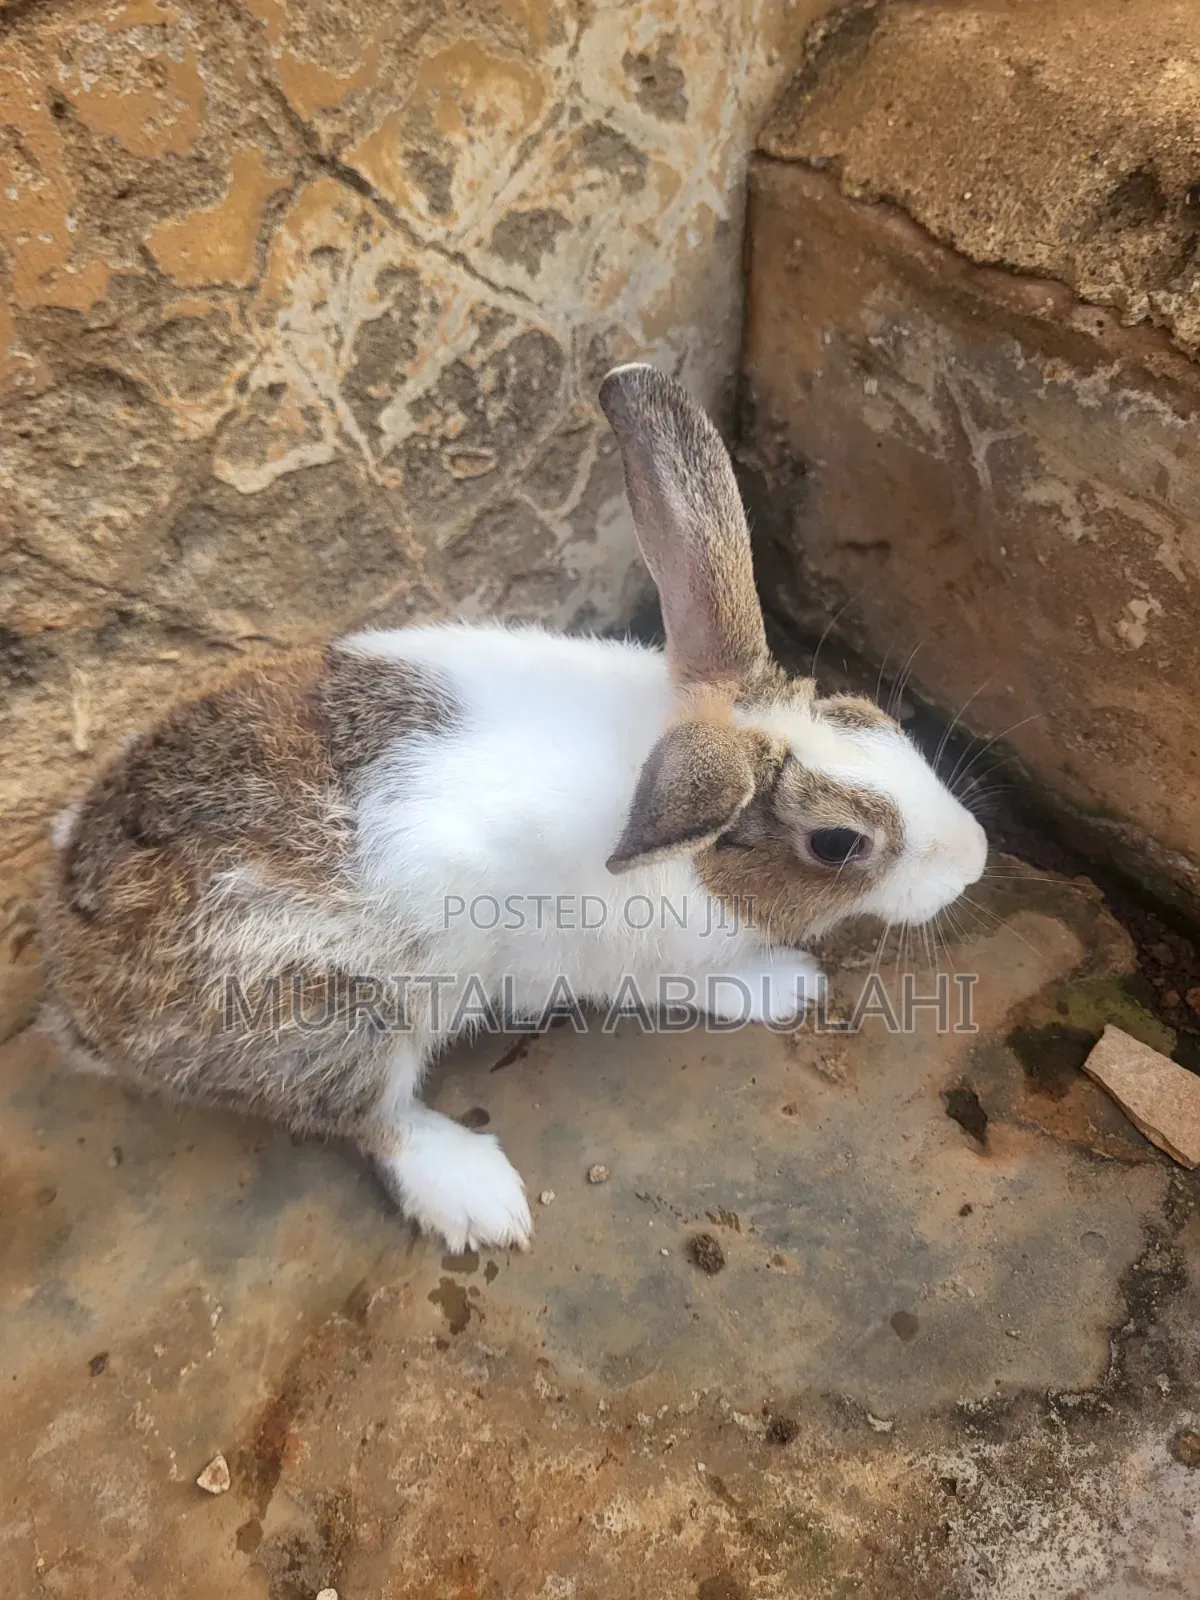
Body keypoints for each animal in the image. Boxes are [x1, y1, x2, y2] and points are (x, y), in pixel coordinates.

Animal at [38, 364, 987, 1253]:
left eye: (860, 711)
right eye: (836, 843)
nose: (976, 855)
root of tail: (77, 999)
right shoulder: (641, 960)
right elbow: (709, 985)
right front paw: (789, 983)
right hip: (337, 1020)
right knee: (370, 1117)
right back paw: (478, 1199)